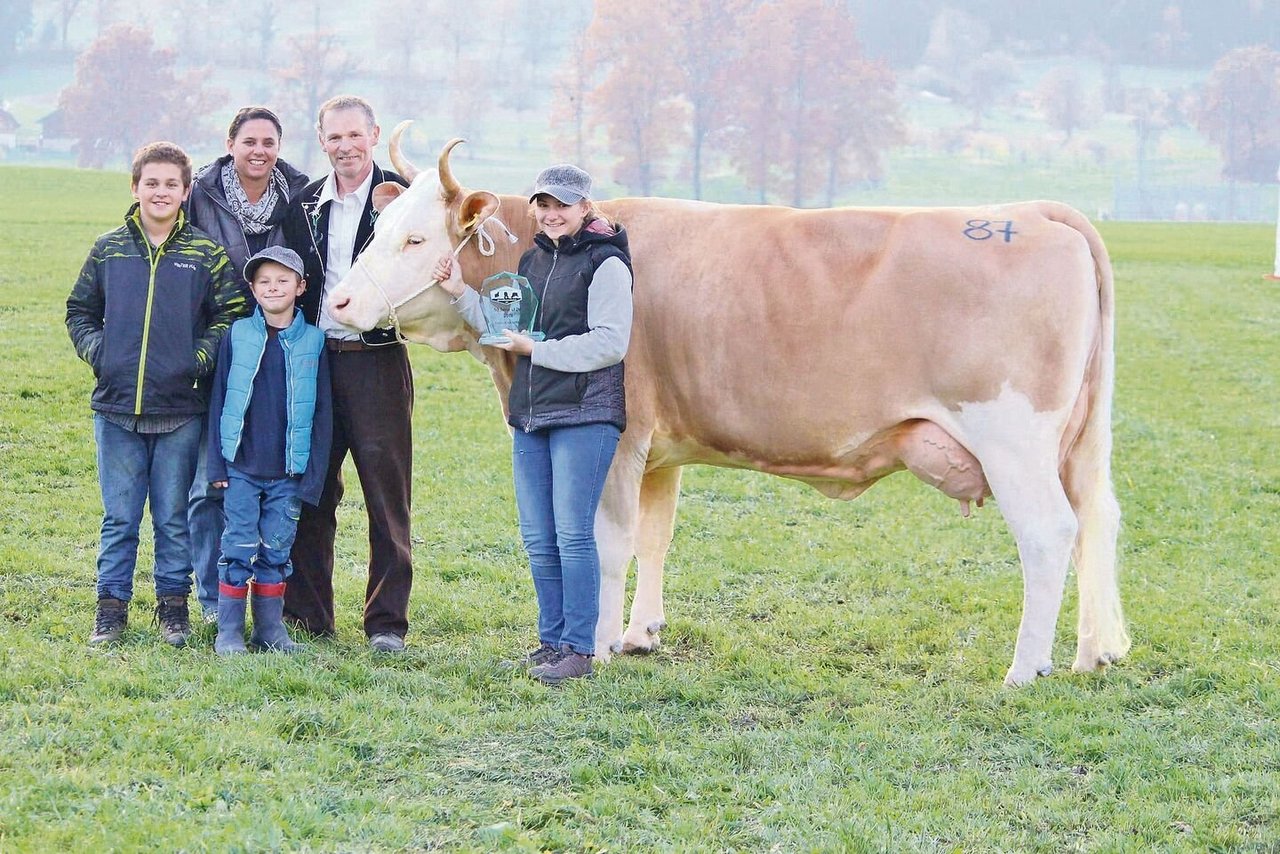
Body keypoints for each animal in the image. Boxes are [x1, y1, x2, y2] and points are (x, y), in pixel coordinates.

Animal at [330, 128, 1131, 686]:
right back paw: (1094, 651)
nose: (337, 302)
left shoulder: (622, 438)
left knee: (1049, 535)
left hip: (1014, 441)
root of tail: (1030, 213)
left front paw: (596, 646)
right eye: (380, 228)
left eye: (415, 238)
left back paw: (1025, 668)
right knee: (1096, 519)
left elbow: (611, 541)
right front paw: (641, 633)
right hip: (1074, 448)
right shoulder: (660, 448)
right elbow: (656, 537)